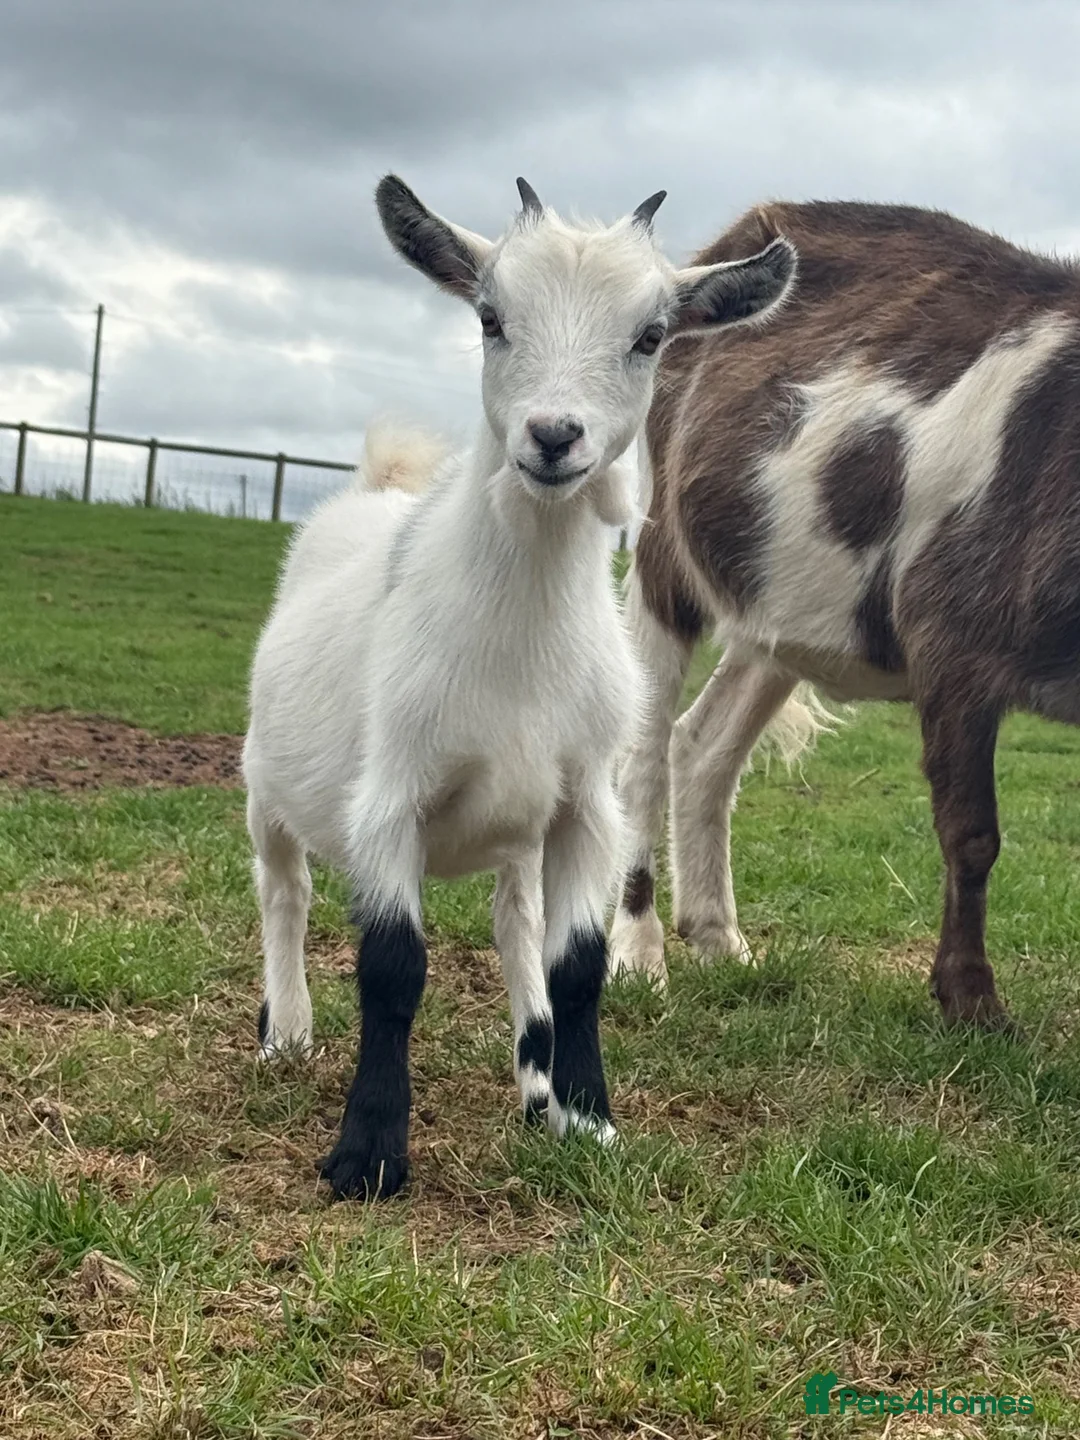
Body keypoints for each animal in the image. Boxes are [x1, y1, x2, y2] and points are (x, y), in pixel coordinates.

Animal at [242, 175, 797, 1199]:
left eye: (652, 335)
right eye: (491, 318)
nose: (552, 435)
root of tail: (379, 490)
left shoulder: (585, 804)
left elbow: (576, 963)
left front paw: (586, 1115)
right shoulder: (391, 801)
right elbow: (393, 968)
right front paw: (368, 1153)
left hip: (518, 828)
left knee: (514, 925)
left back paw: (533, 1079)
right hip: (264, 783)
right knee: (284, 890)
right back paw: (286, 1032)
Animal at [611, 198, 1080, 1034]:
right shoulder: (951, 635)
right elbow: (972, 834)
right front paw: (970, 1000)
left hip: (783, 597)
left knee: (703, 744)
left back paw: (719, 940)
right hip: (664, 548)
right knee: (641, 749)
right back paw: (638, 954)